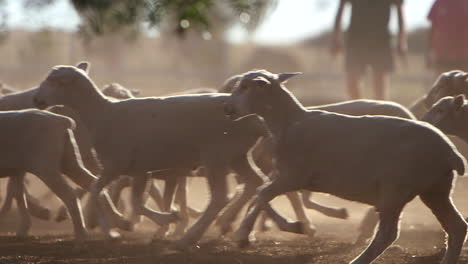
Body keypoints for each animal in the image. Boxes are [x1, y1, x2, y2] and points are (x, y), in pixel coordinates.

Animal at [225, 70, 466, 264]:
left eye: (245, 87)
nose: (227, 109)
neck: (290, 122)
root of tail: (451, 152)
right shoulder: (285, 176)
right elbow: (261, 194)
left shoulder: (293, 176)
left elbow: (261, 194)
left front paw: (245, 234)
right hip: (435, 190)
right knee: (457, 227)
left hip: (395, 190)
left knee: (388, 234)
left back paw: (358, 260)